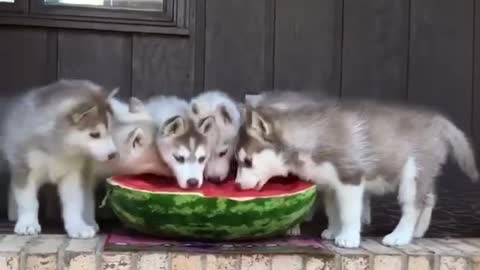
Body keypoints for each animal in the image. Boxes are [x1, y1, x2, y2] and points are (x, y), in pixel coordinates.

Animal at [1, 79, 118, 238]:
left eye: (110, 131)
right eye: (95, 134)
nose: (113, 154)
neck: (57, 149)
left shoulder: (73, 174)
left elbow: (74, 203)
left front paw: (77, 226)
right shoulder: (24, 169)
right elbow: (28, 202)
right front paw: (27, 224)